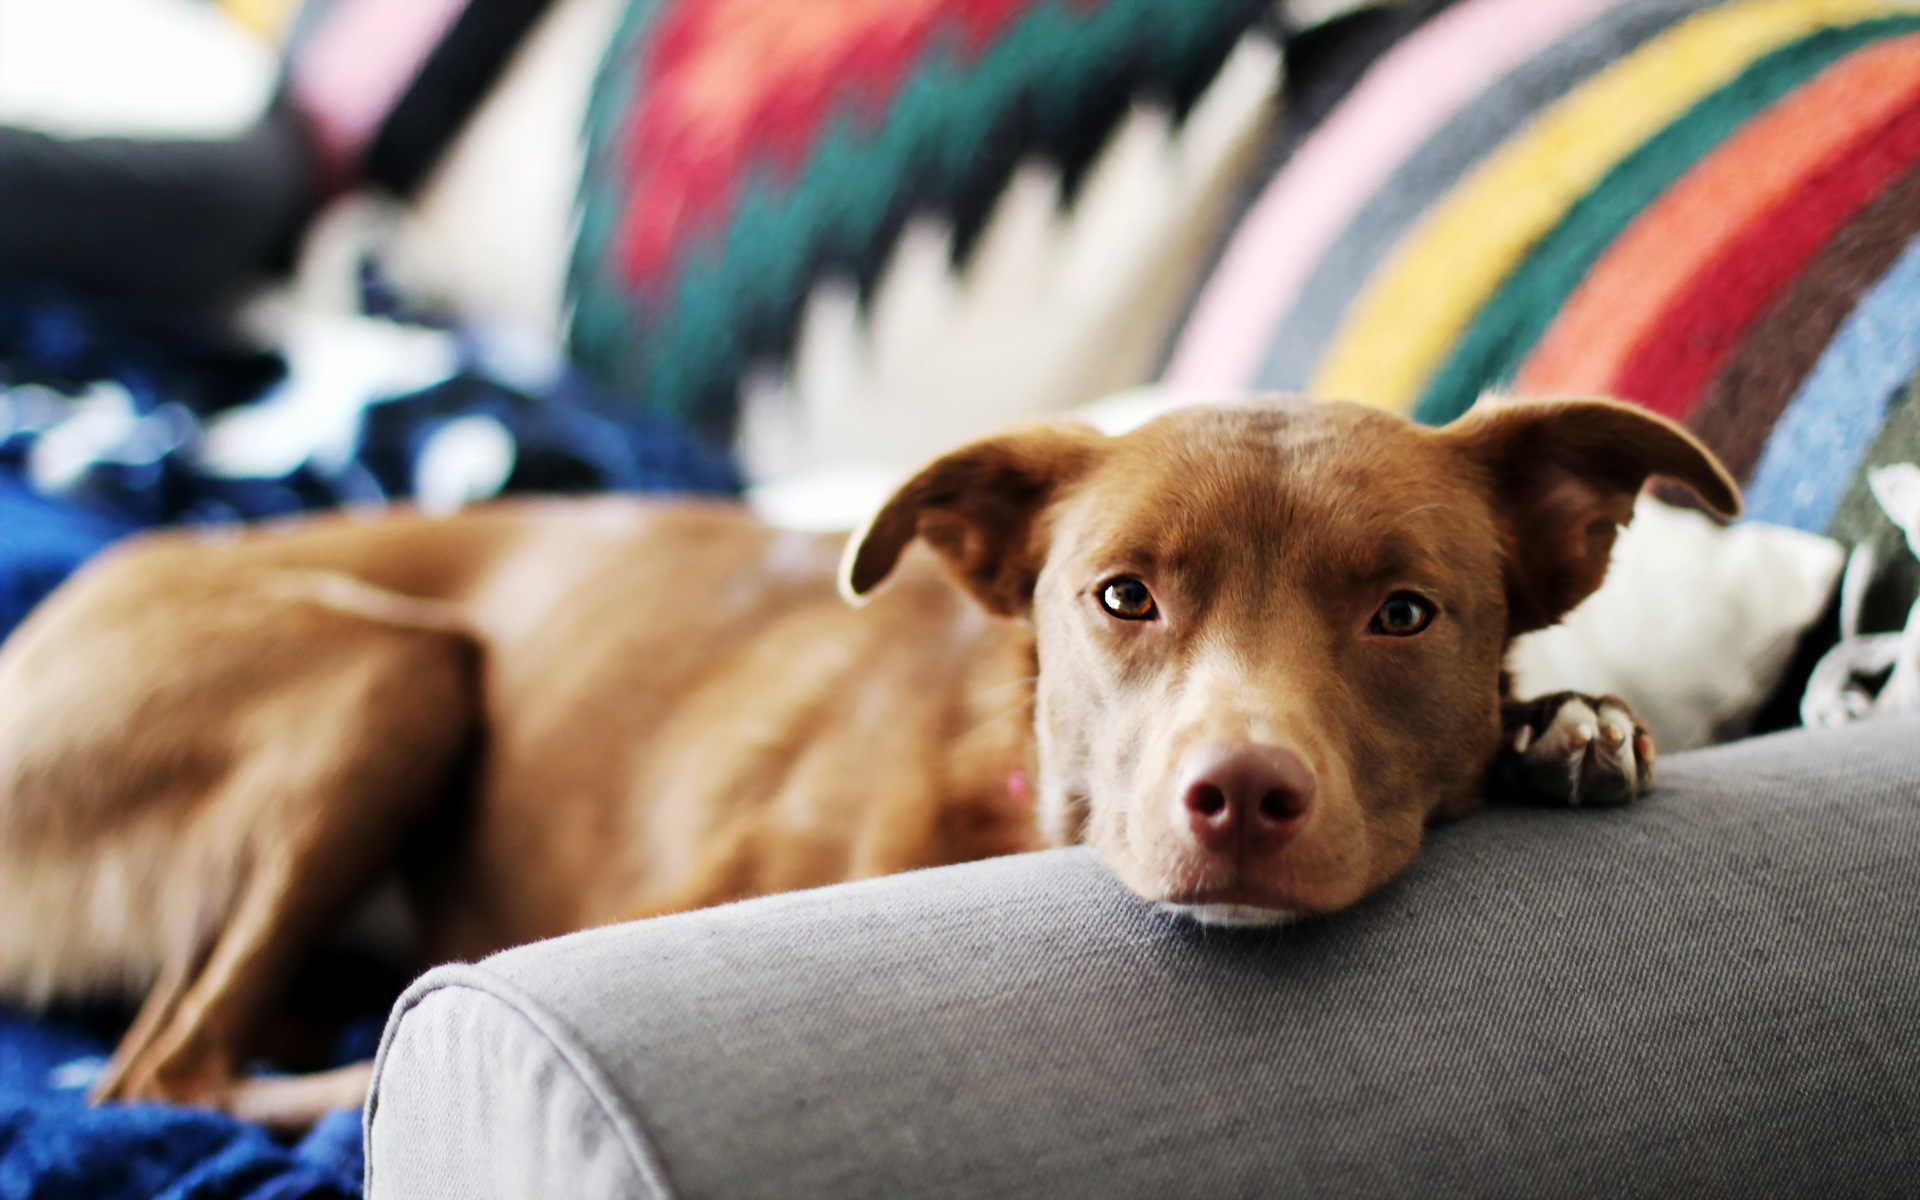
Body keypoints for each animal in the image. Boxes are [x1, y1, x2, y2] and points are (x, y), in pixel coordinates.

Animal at [0, 393, 1743, 1121]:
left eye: (1405, 613)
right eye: (1123, 595)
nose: (1240, 796)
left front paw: (1563, 725)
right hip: (395, 668)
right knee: (164, 1075)